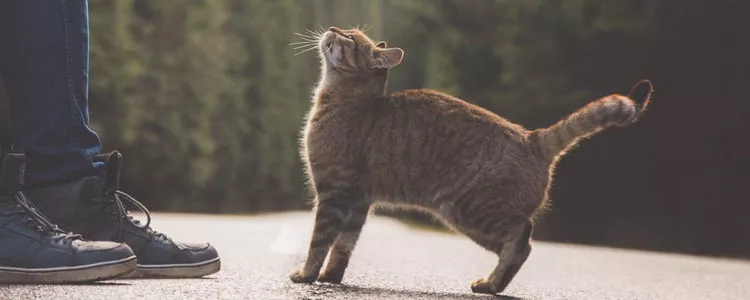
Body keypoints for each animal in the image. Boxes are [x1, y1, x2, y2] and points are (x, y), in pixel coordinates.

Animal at [290, 26, 656, 296]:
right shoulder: (359, 201)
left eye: (350, 37)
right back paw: (491, 283)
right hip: (468, 220)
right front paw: (330, 277)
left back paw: (492, 284)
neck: (345, 100)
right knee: (520, 246)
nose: (332, 28)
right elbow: (343, 246)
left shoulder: (334, 192)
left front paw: (307, 274)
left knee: (522, 236)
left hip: (471, 211)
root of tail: (533, 137)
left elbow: (320, 241)